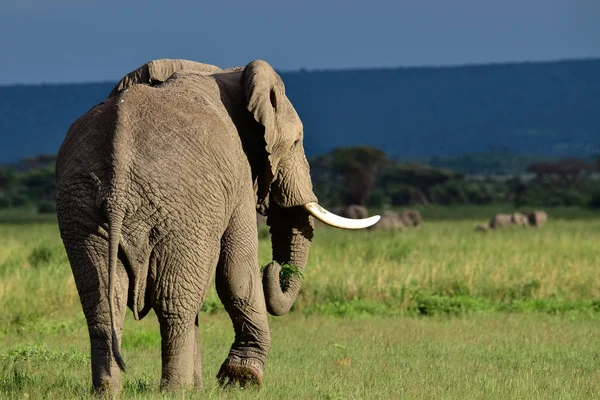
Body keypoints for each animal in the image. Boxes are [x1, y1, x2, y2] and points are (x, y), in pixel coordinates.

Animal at [54, 58, 378, 394]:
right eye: (297, 142)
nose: (273, 268)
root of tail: (117, 189)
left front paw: (214, 384)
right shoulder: (238, 174)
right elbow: (237, 271)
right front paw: (242, 379)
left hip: (82, 210)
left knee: (103, 303)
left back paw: (110, 391)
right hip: (180, 209)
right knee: (174, 303)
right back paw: (176, 391)